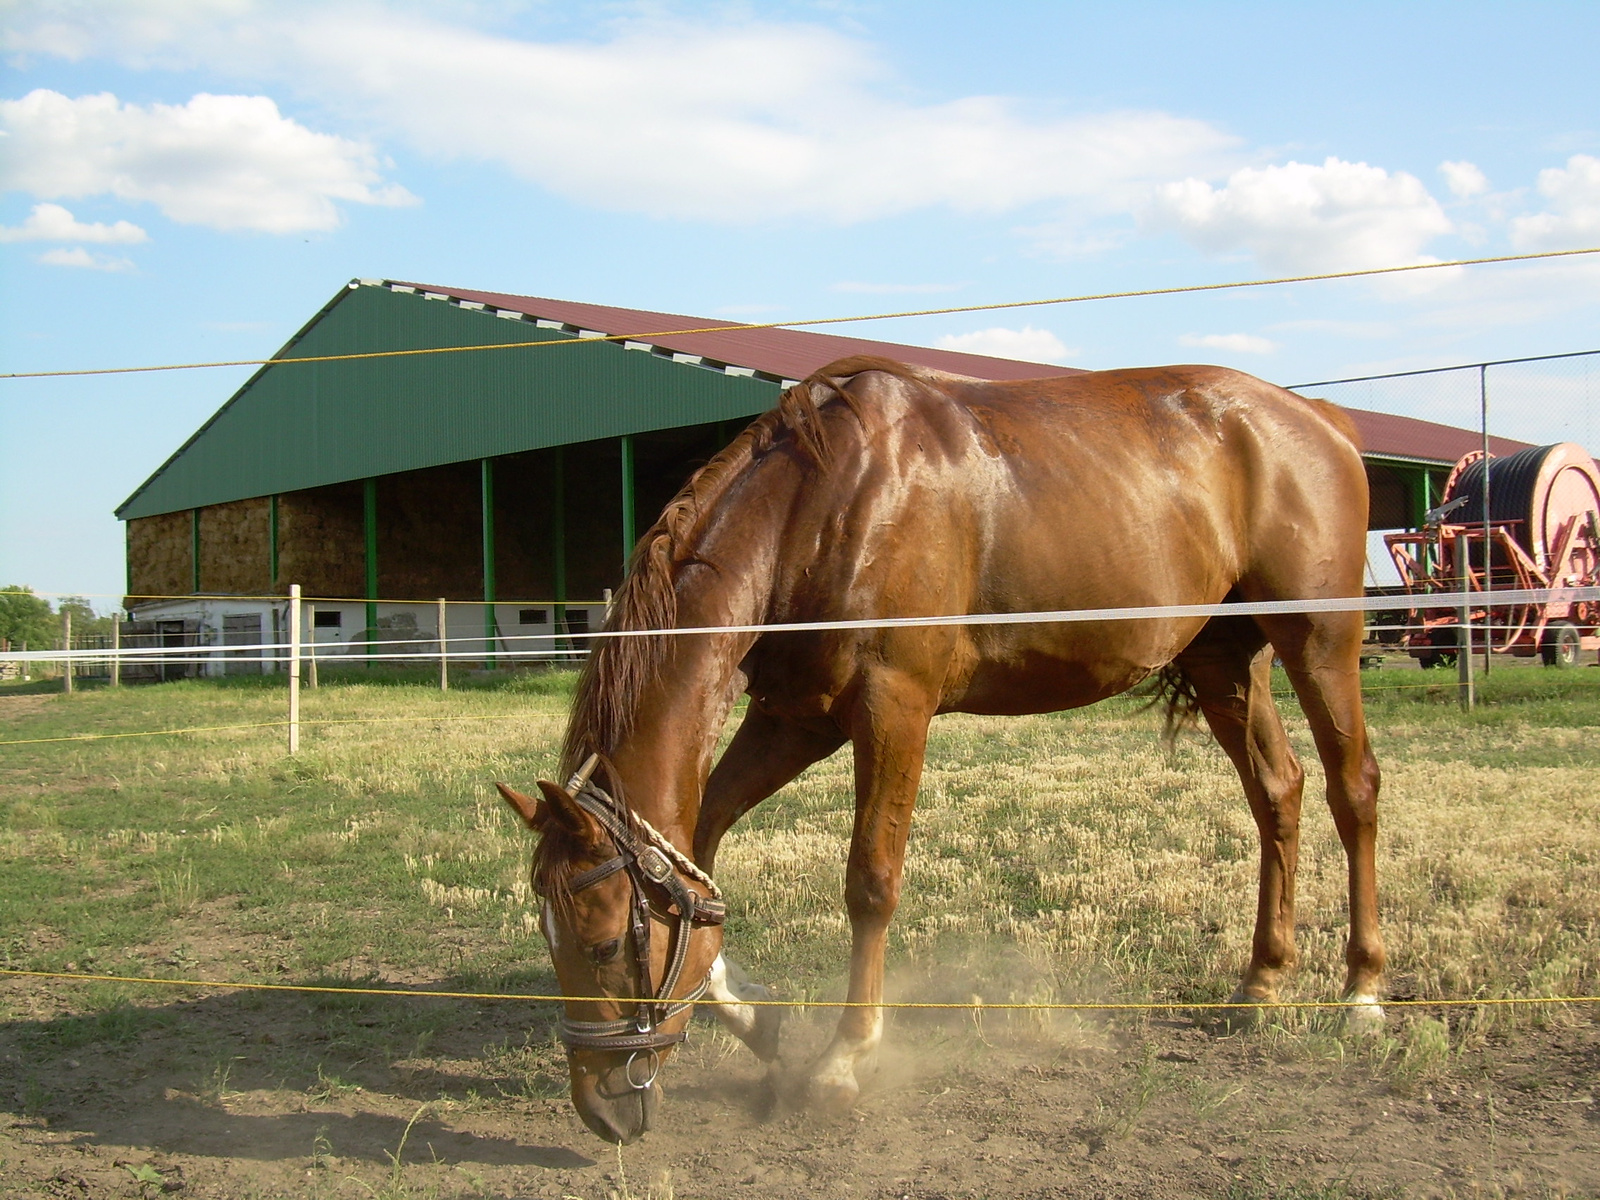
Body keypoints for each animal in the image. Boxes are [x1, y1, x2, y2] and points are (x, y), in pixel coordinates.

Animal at [492, 355, 1382, 1145]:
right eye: (548, 936)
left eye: (605, 943)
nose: (601, 1110)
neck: (824, 506)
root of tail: (1320, 421)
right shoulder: (794, 721)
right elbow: (701, 850)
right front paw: (752, 1015)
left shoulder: (895, 709)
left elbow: (870, 883)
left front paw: (844, 1061)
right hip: (1225, 660)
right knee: (1278, 790)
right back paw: (1262, 980)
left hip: (1318, 643)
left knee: (1353, 790)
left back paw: (1362, 992)